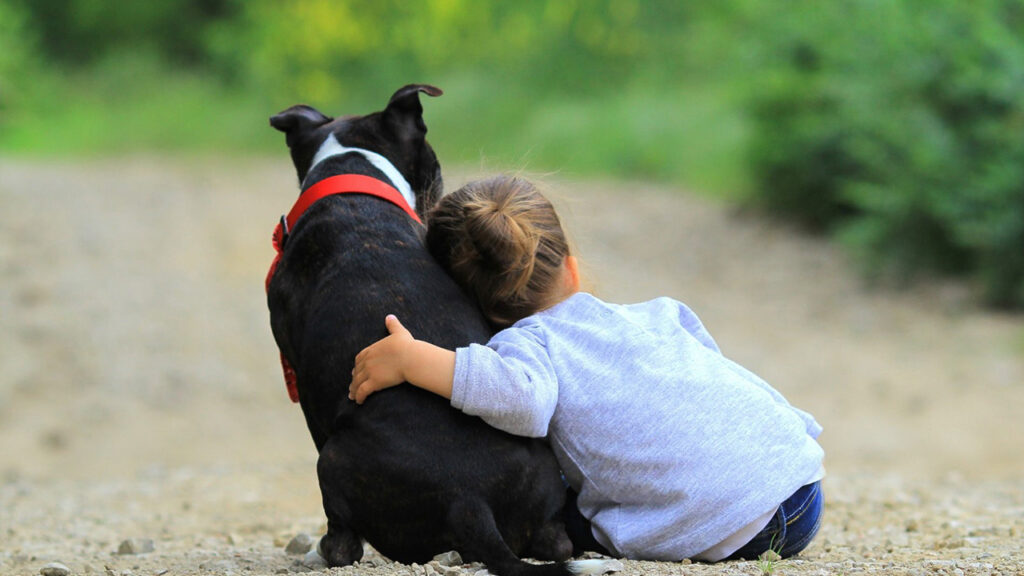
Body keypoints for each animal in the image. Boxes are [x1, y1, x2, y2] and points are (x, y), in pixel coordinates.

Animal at [268, 85, 610, 573]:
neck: (351, 174)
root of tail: (469, 500)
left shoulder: (305, 386)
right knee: (555, 544)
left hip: (331, 460)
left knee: (345, 545)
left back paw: (323, 551)